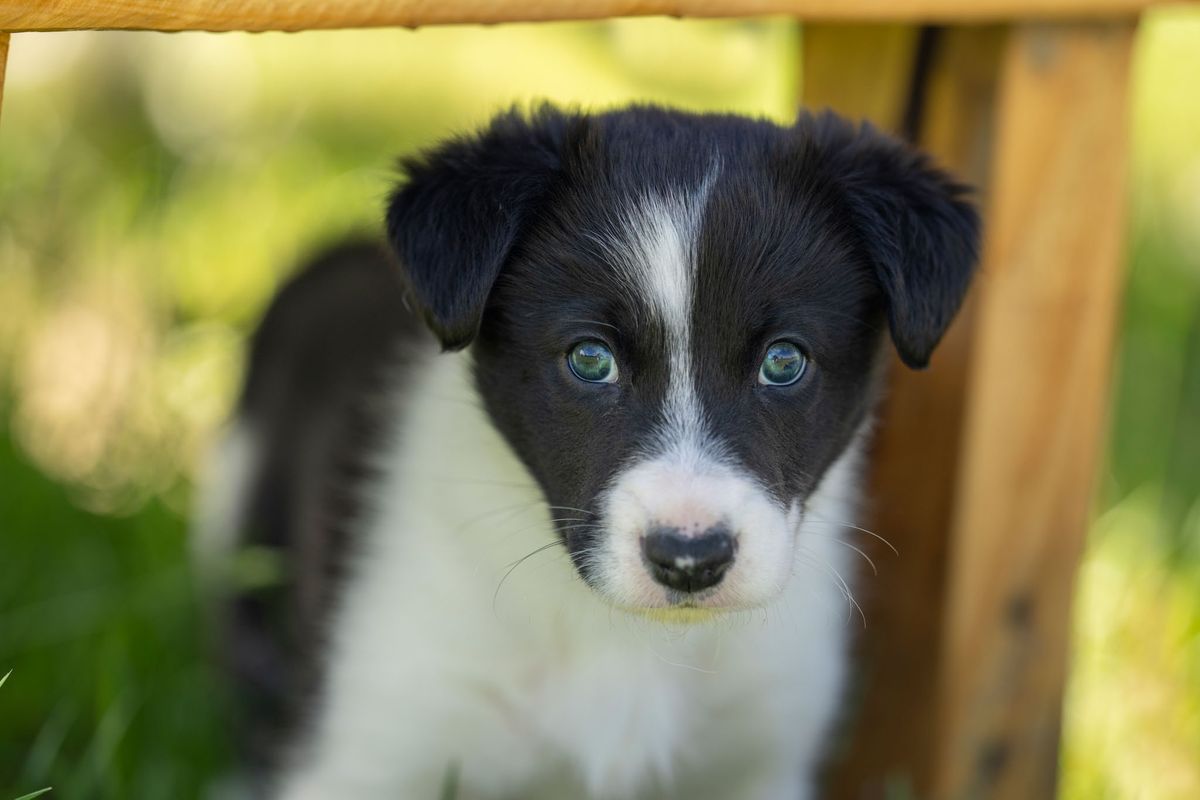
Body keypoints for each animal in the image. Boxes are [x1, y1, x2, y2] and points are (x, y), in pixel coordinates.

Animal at [196, 103, 979, 796]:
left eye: (785, 362)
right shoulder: (369, 748)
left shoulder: (757, 762)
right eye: (590, 360)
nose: (689, 560)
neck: (626, 638)